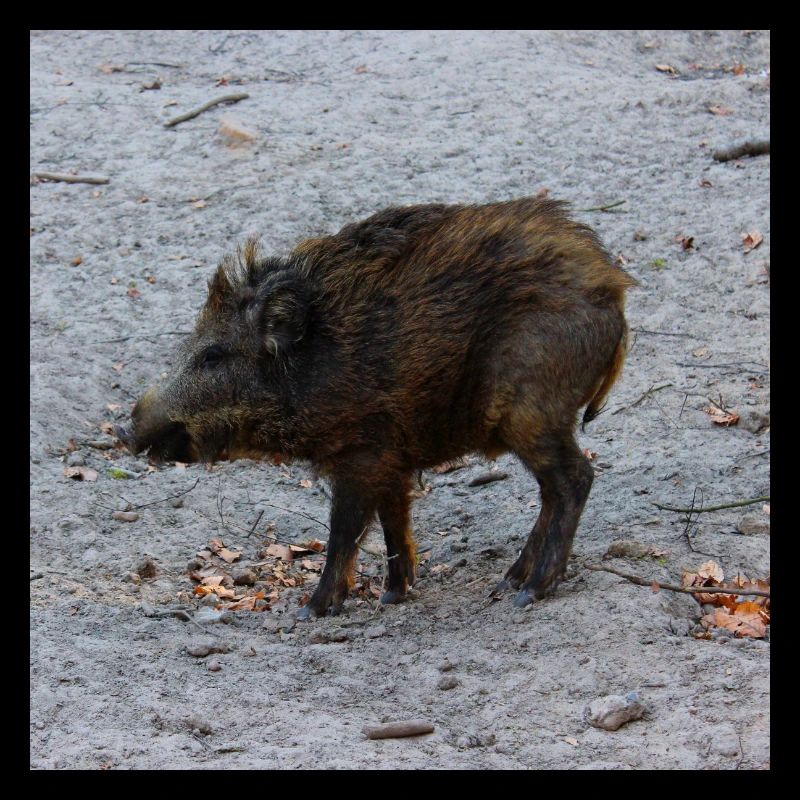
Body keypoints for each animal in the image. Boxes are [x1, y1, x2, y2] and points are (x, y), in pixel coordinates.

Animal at [117, 198, 636, 617]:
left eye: (213, 356)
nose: (127, 430)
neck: (311, 367)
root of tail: (614, 294)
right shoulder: (392, 459)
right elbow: (393, 521)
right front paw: (393, 594)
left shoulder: (362, 454)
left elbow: (345, 530)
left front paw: (312, 610)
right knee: (552, 490)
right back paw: (509, 582)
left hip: (531, 412)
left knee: (575, 480)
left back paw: (531, 592)